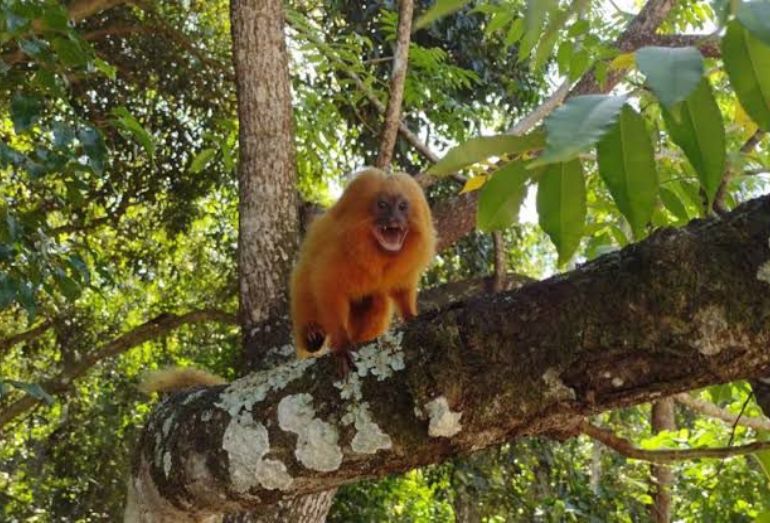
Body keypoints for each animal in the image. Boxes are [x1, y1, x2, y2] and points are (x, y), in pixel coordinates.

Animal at [290, 168, 436, 372]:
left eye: (402, 206)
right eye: (382, 205)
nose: (394, 218)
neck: (377, 253)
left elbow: (400, 289)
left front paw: (410, 316)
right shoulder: (336, 249)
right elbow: (327, 289)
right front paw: (342, 343)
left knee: (377, 300)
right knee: (304, 282)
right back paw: (312, 336)